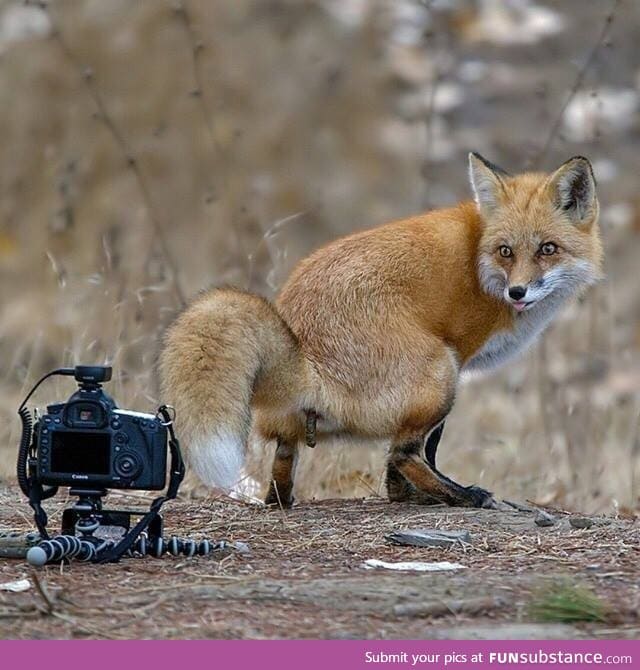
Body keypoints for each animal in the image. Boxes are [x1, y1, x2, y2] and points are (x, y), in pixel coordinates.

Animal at [160, 154, 600, 510]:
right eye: (506, 251)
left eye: (547, 249)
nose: (517, 292)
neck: (480, 263)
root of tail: (307, 358)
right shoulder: (459, 355)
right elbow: (426, 449)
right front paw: (418, 493)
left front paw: (403, 495)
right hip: (439, 373)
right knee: (403, 452)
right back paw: (463, 496)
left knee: (285, 462)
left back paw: (283, 499)